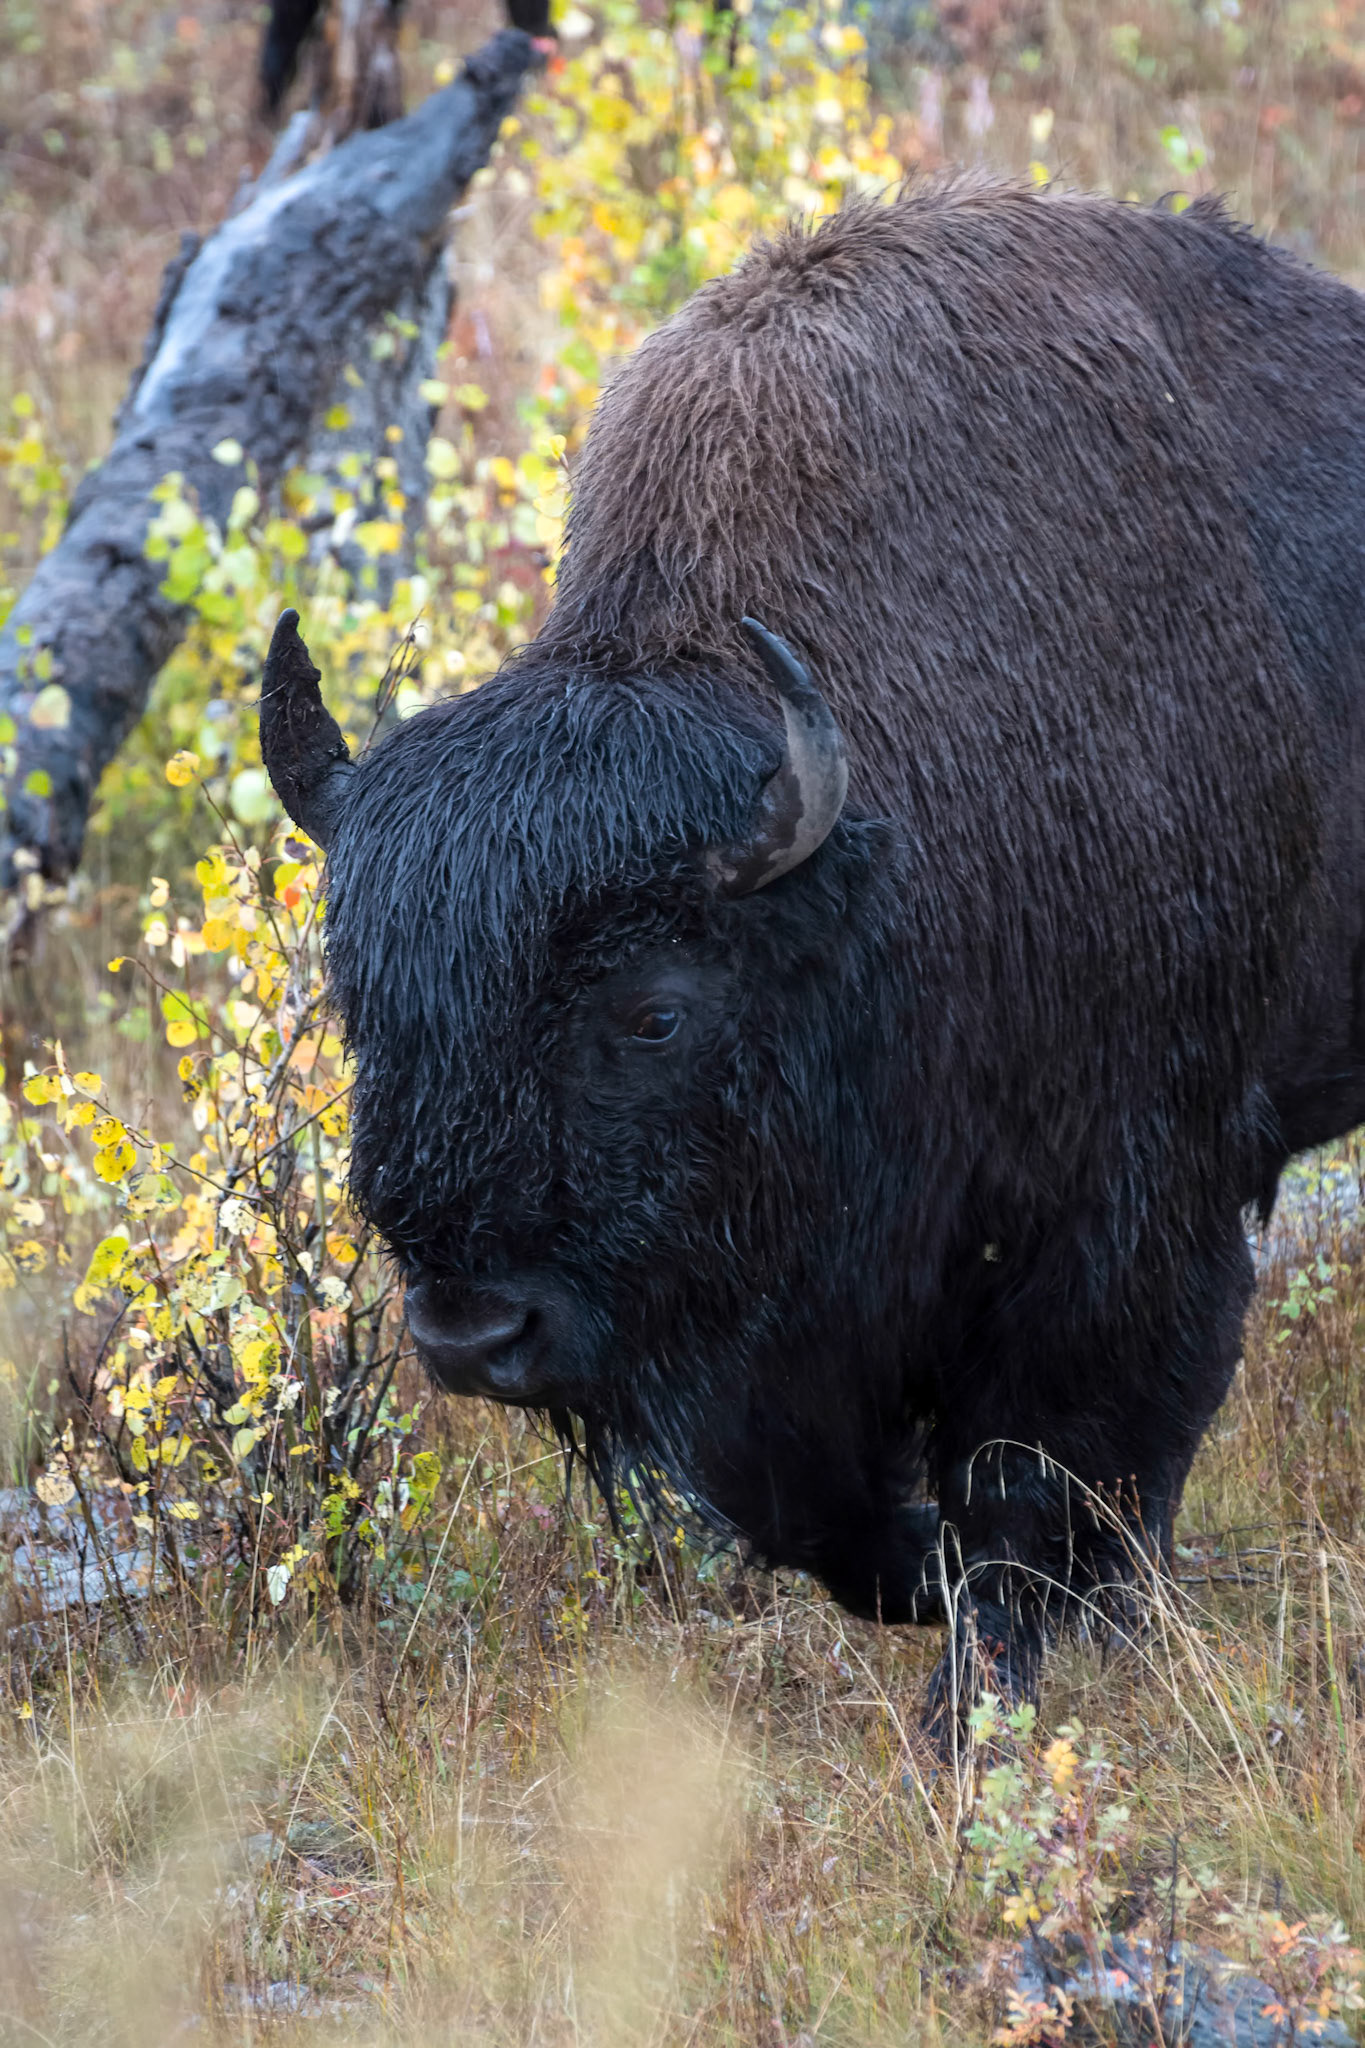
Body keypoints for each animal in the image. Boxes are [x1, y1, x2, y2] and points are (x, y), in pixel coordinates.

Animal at [260, 179, 1365, 1720]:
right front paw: (943, 1589)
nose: (474, 1335)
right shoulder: (793, 1333)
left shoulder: (1127, 1204)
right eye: (363, 1010)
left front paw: (987, 1697)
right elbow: (817, 1510)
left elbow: (1047, 1467)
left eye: (654, 1012)